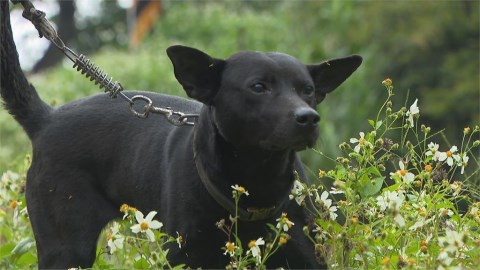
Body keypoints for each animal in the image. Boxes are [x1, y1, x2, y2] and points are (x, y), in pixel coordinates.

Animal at [0, 3, 360, 268]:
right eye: (258, 87)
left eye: (308, 90)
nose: (308, 118)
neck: (254, 182)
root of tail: (47, 119)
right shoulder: (186, 256)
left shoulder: (305, 254)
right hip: (67, 246)